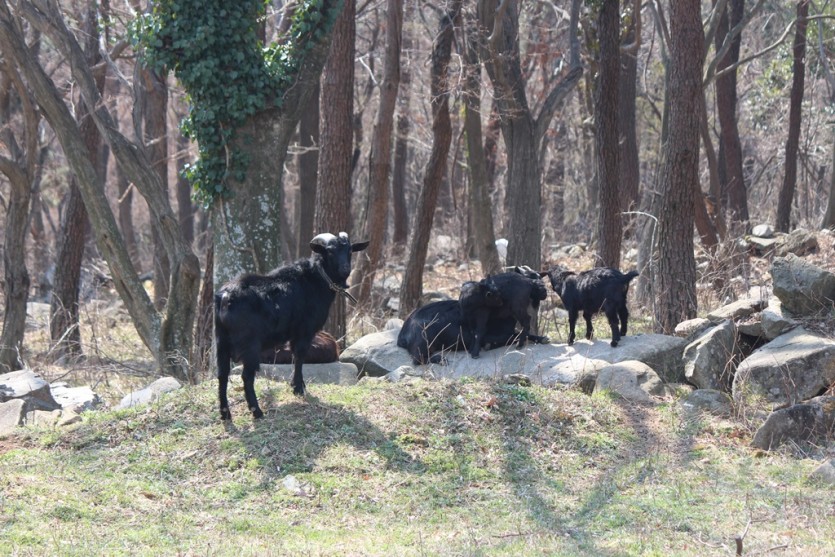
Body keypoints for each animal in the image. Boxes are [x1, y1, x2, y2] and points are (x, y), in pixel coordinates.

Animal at [216, 230, 370, 416]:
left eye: (350, 250)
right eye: (330, 251)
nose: (345, 269)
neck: (316, 279)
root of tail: (226, 297)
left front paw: (298, 385)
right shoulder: (305, 331)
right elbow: (299, 356)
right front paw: (298, 388)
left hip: (221, 341)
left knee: (222, 374)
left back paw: (225, 413)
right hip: (250, 344)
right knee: (246, 375)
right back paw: (257, 411)